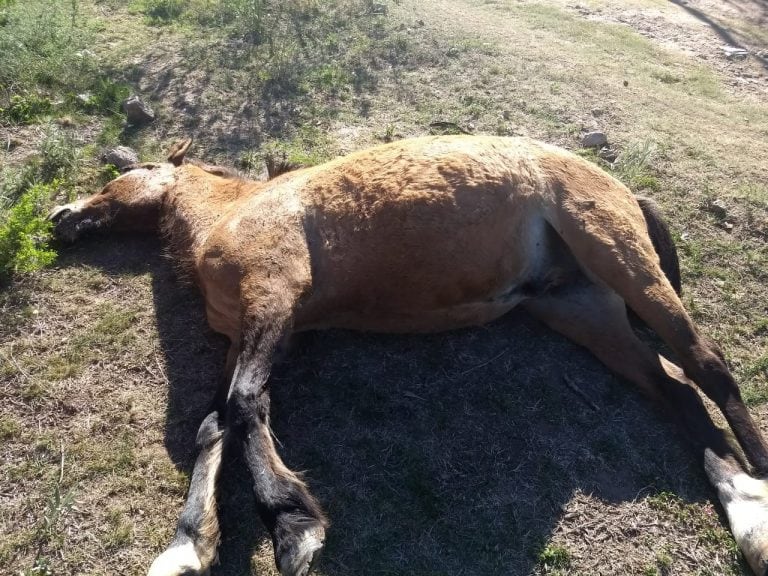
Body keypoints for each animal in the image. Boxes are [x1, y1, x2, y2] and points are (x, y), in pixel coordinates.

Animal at [48, 136, 768, 576]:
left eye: (125, 174)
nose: (61, 217)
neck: (237, 212)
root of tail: (622, 186)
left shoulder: (273, 301)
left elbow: (246, 406)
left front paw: (293, 525)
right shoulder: (250, 334)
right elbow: (213, 425)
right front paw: (188, 547)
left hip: (619, 256)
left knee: (709, 365)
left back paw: (757, 487)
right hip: (583, 310)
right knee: (676, 389)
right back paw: (745, 510)